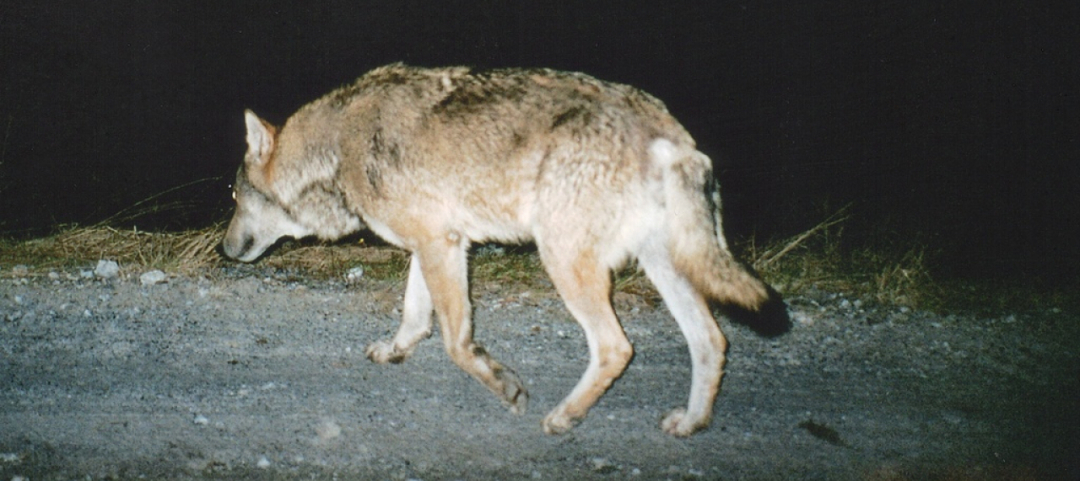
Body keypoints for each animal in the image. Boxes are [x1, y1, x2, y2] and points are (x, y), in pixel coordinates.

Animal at [221, 63, 773, 436]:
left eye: (233, 198)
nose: (224, 250)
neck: (337, 149)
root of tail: (664, 128)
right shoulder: (438, 241)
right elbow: (415, 317)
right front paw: (396, 350)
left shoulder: (439, 245)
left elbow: (456, 344)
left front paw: (505, 386)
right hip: (663, 265)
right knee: (711, 341)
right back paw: (691, 423)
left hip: (565, 262)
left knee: (616, 347)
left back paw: (564, 417)